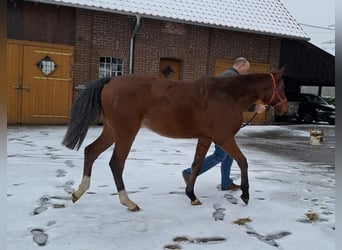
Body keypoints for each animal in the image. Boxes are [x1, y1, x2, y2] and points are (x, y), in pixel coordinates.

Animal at [62, 70, 288, 211]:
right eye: (282, 86)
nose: (284, 108)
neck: (227, 96)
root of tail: (110, 81)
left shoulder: (206, 138)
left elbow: (197, 165)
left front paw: (192, 195)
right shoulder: (224, 138)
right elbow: (242, 161)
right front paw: (245, 195)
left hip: (111, 131)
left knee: (91, 151)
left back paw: (78, 193)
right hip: (126, 132)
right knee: (116, 163)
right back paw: (129, 202)